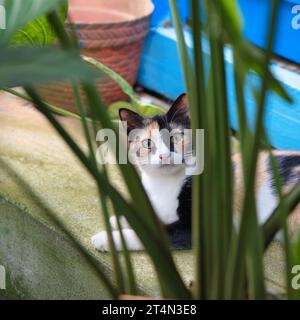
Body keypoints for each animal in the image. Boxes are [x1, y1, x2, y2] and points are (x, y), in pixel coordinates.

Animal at [91, 94, 300, 251]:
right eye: (147, 143)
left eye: (175, 137)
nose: (164, 156)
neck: (164, 185)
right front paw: (119, 219)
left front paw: (104, 239)